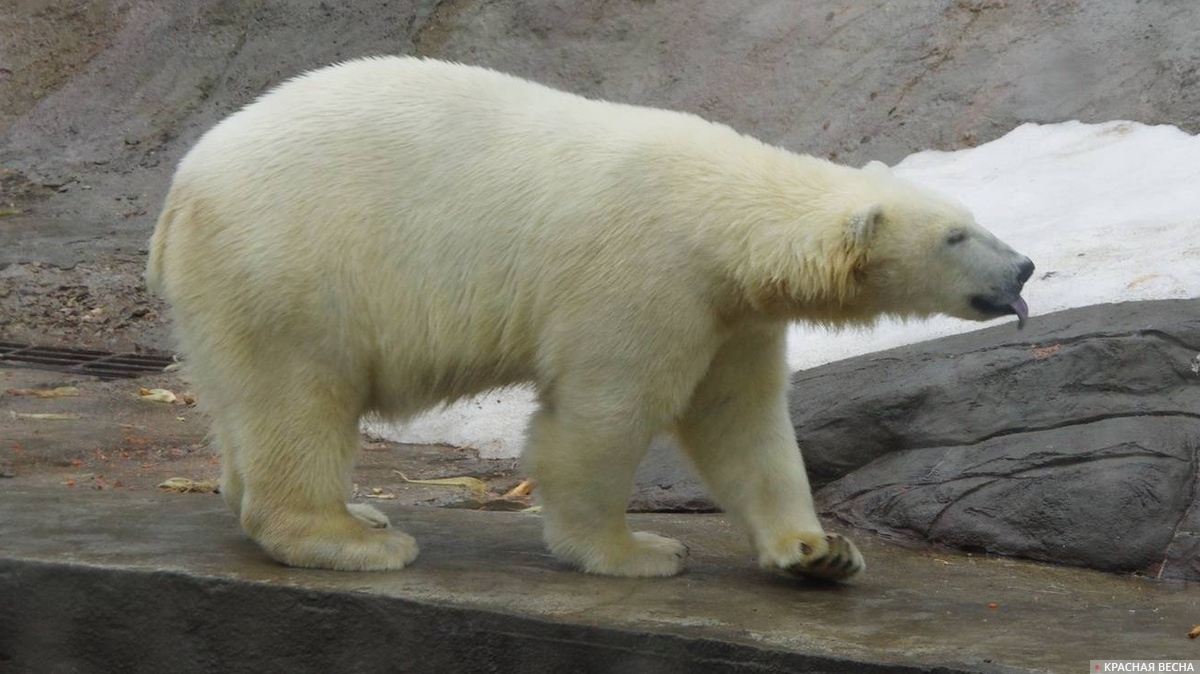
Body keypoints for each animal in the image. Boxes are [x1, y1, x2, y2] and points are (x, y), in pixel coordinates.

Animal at [147, 56, 1032, 578]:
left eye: (970, 217)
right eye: (956, 236)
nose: (1023, 269)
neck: (722, 212)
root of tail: (183, 187)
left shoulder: (730, 312)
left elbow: (741, 421)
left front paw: (817, 552)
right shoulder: (647, 276)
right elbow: (605, 413)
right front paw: (637, 549)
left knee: (241, 401)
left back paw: (346, 508)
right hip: (294, 266)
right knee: (299, 396)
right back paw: (357, 538)